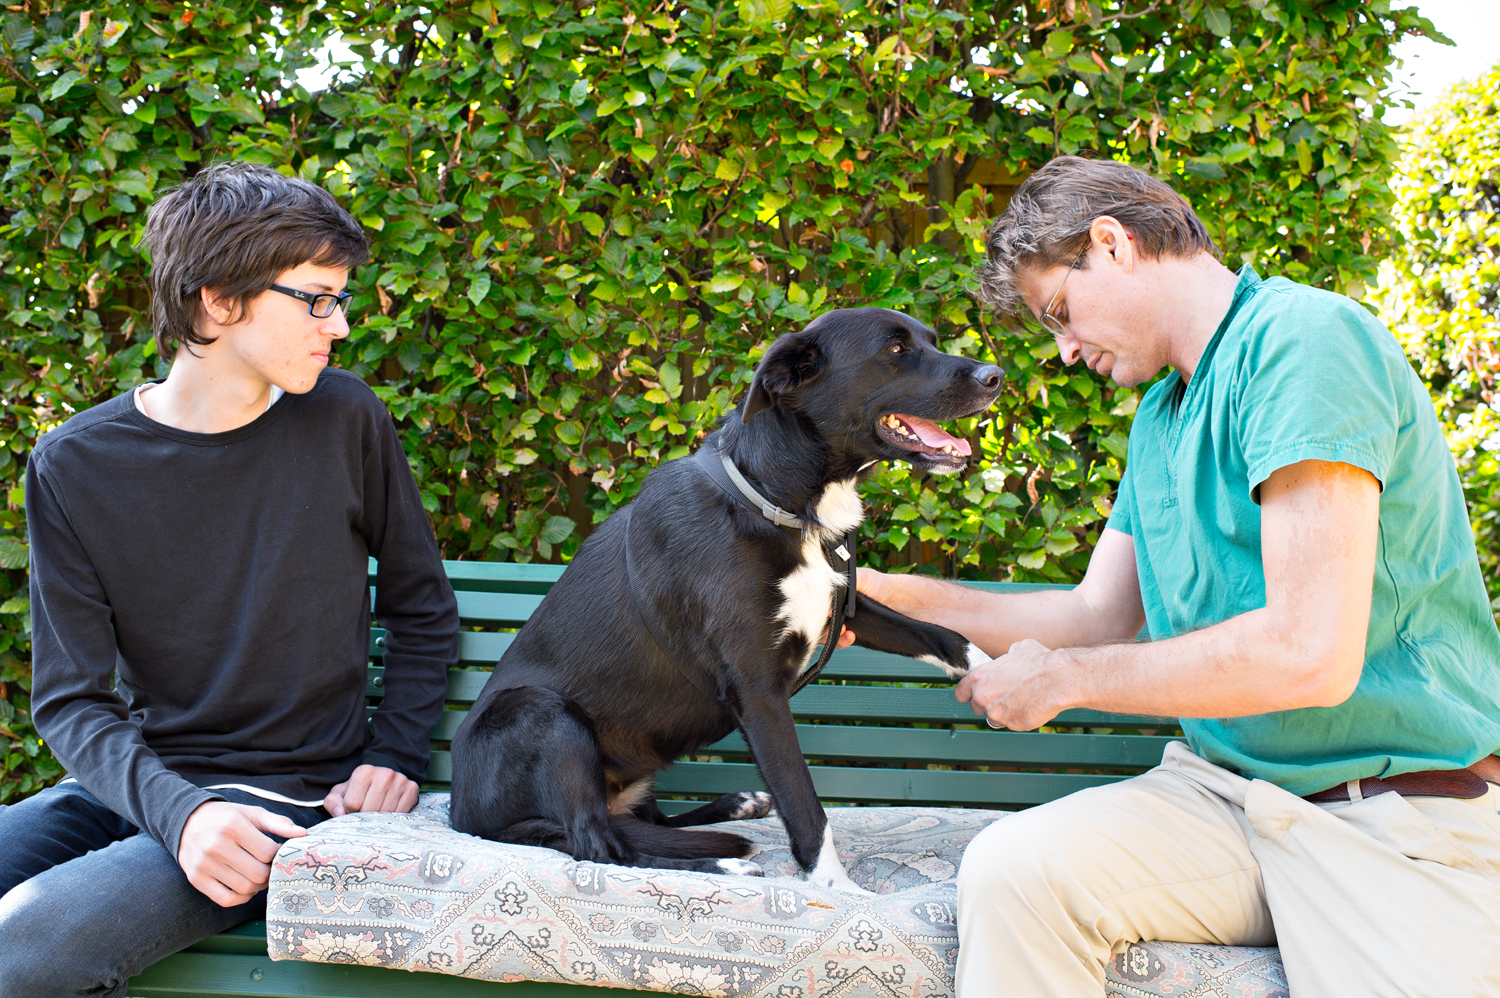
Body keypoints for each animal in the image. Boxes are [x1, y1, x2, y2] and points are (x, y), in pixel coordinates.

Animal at [450, 306, 1002, 888]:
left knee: (638, 825)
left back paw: (737, 806)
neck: (779, 504)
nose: (997, 376)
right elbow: (805, 803)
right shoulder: (757, 691)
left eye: (932, 341)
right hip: (543, 713)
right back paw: (719, 864)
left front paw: (1001, 676)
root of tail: (461, 815)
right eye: (895, 349)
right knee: (597, 844)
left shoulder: (840, 599)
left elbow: (943, 635)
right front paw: (834, 886)